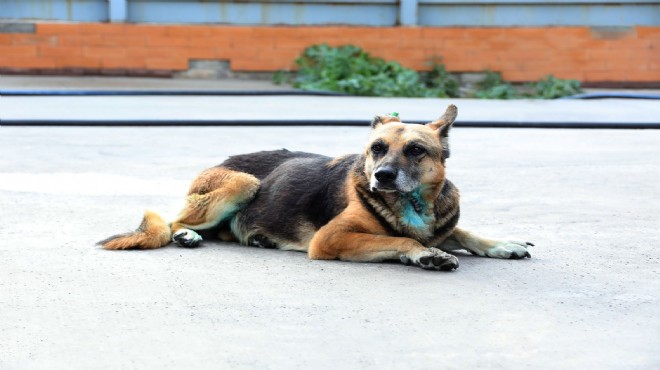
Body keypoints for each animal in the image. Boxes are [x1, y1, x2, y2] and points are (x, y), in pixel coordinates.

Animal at [99, 105, 532, 270]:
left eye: (415, 150)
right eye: (377, 149)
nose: (381, 177)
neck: (411, 203)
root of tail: (223, 161)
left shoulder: (443, 224)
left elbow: (467, 232)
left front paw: (503, 244)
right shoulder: (331, 238)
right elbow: (402, 239)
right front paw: (426, 254)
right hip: (243, 181)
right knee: (174, 222)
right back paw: (187, 235)